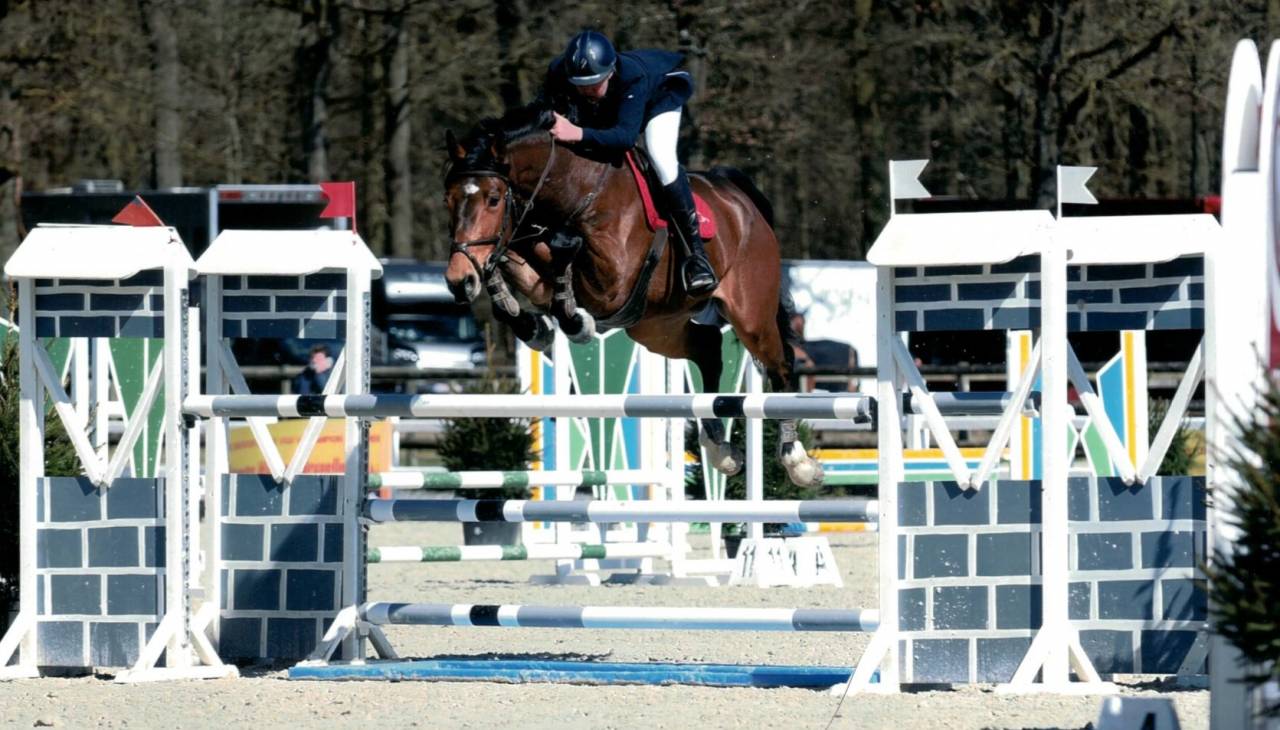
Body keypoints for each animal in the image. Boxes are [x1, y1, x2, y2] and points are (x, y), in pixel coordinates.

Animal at [441, 107, 824, 487]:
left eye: (493, 199)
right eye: (448, 200)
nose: (458, 282)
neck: (574, 189)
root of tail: (739, 200)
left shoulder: (612, 285)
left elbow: (563, 250)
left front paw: (574, 322)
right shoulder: (536, 263)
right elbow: (513, 259)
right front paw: (530, 324)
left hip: (750, 315)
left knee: (780, 364)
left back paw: (796, 460)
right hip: (655, 326)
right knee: (708, 347)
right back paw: (721, 448)